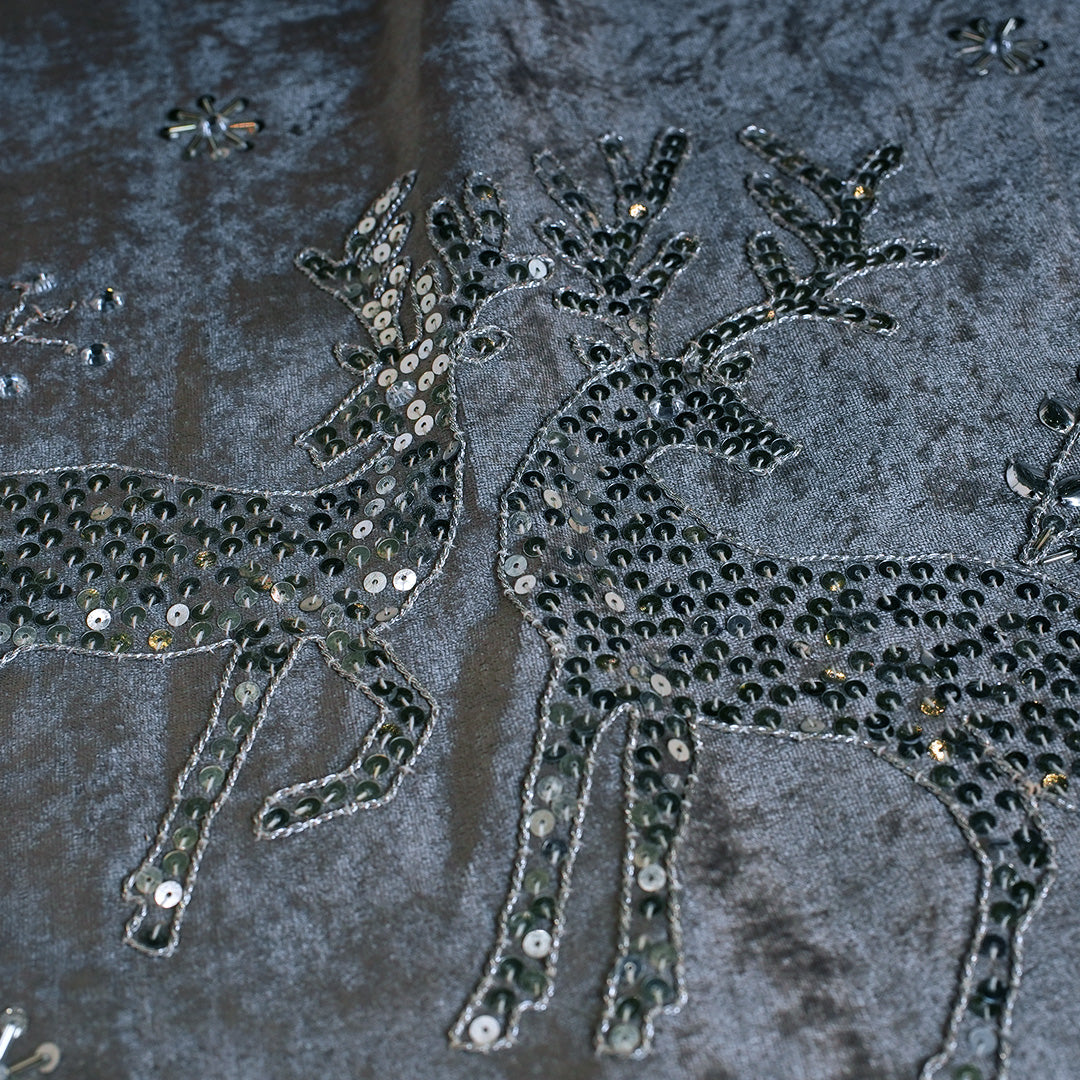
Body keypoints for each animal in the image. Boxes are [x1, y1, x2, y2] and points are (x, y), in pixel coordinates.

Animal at [0, 170, 549, 956]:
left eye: (422, 380)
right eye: (372, 374)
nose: (322, 440)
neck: (351, 524)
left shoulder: (306, 634)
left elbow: (403, 713)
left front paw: (270, 819)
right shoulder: (295, 625)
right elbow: (224, 757)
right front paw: (165, 902)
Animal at [451, 125, 1070, 1080]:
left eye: (728, 389)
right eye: (694, 396)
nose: (774, 446)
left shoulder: (593, 669)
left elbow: (555, 812)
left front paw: (509, 994)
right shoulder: (652, 690)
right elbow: (650, 831)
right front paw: (639, 1000)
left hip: (977, 734)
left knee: (1025, 853)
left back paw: (968, 1049)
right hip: (952, 746)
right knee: (1022, 855)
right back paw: (964, 1048)